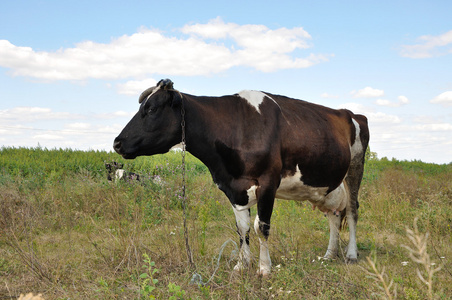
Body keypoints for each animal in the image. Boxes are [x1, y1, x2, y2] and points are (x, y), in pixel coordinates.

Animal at [112, 78, 368, 276]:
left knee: (352, 210)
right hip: (330, 184)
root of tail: (350, 113)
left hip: (355, 167)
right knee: (334, 215)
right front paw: (242, 265)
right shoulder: (232, 187)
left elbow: (261, 227)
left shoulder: (268, 182)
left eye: (151, 109)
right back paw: (329, 255)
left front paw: (264, 268)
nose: (117, 143)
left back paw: (351, 254)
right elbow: (242, 228)